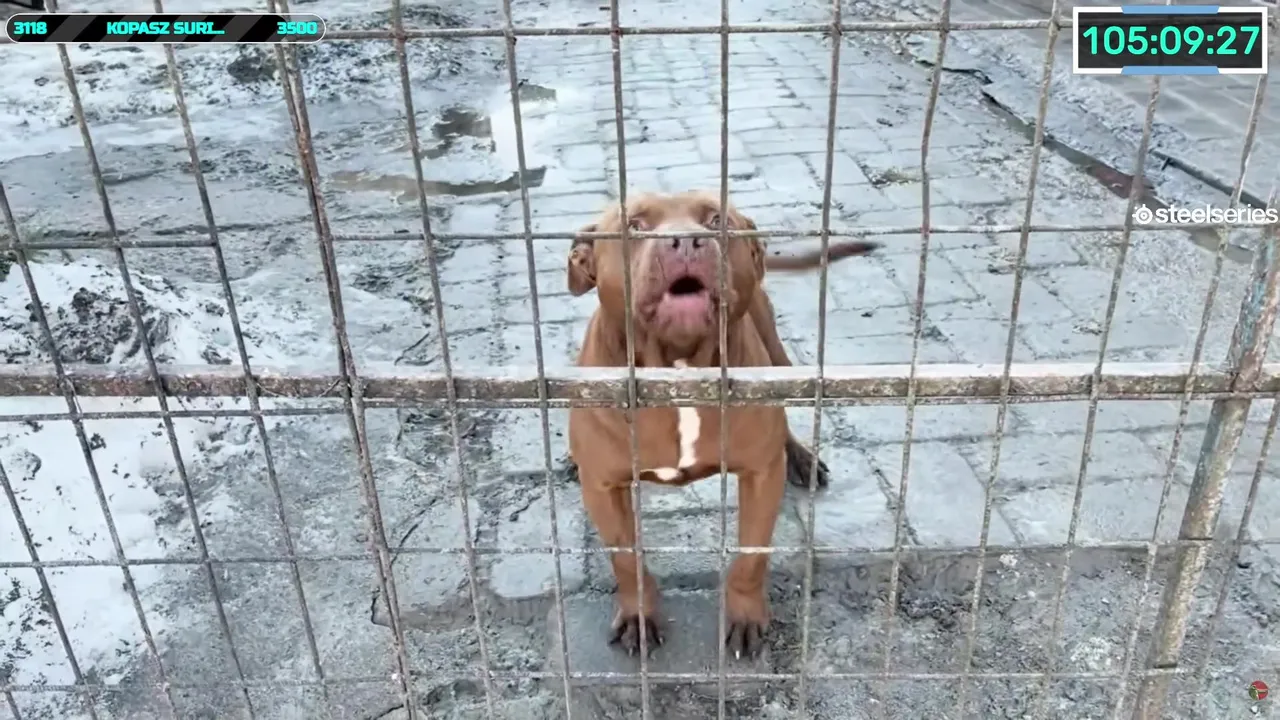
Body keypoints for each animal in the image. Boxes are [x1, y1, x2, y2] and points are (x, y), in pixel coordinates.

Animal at [565, 190, 878, 659]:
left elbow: (752, 554)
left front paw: (745, 615)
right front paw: (639, 614)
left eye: (716, 220)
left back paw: (801, 458)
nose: (686, 241)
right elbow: (626, 558)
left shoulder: (761, 475)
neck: (678, 368)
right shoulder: (603, 488)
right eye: (635, 225)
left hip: (776, 353)